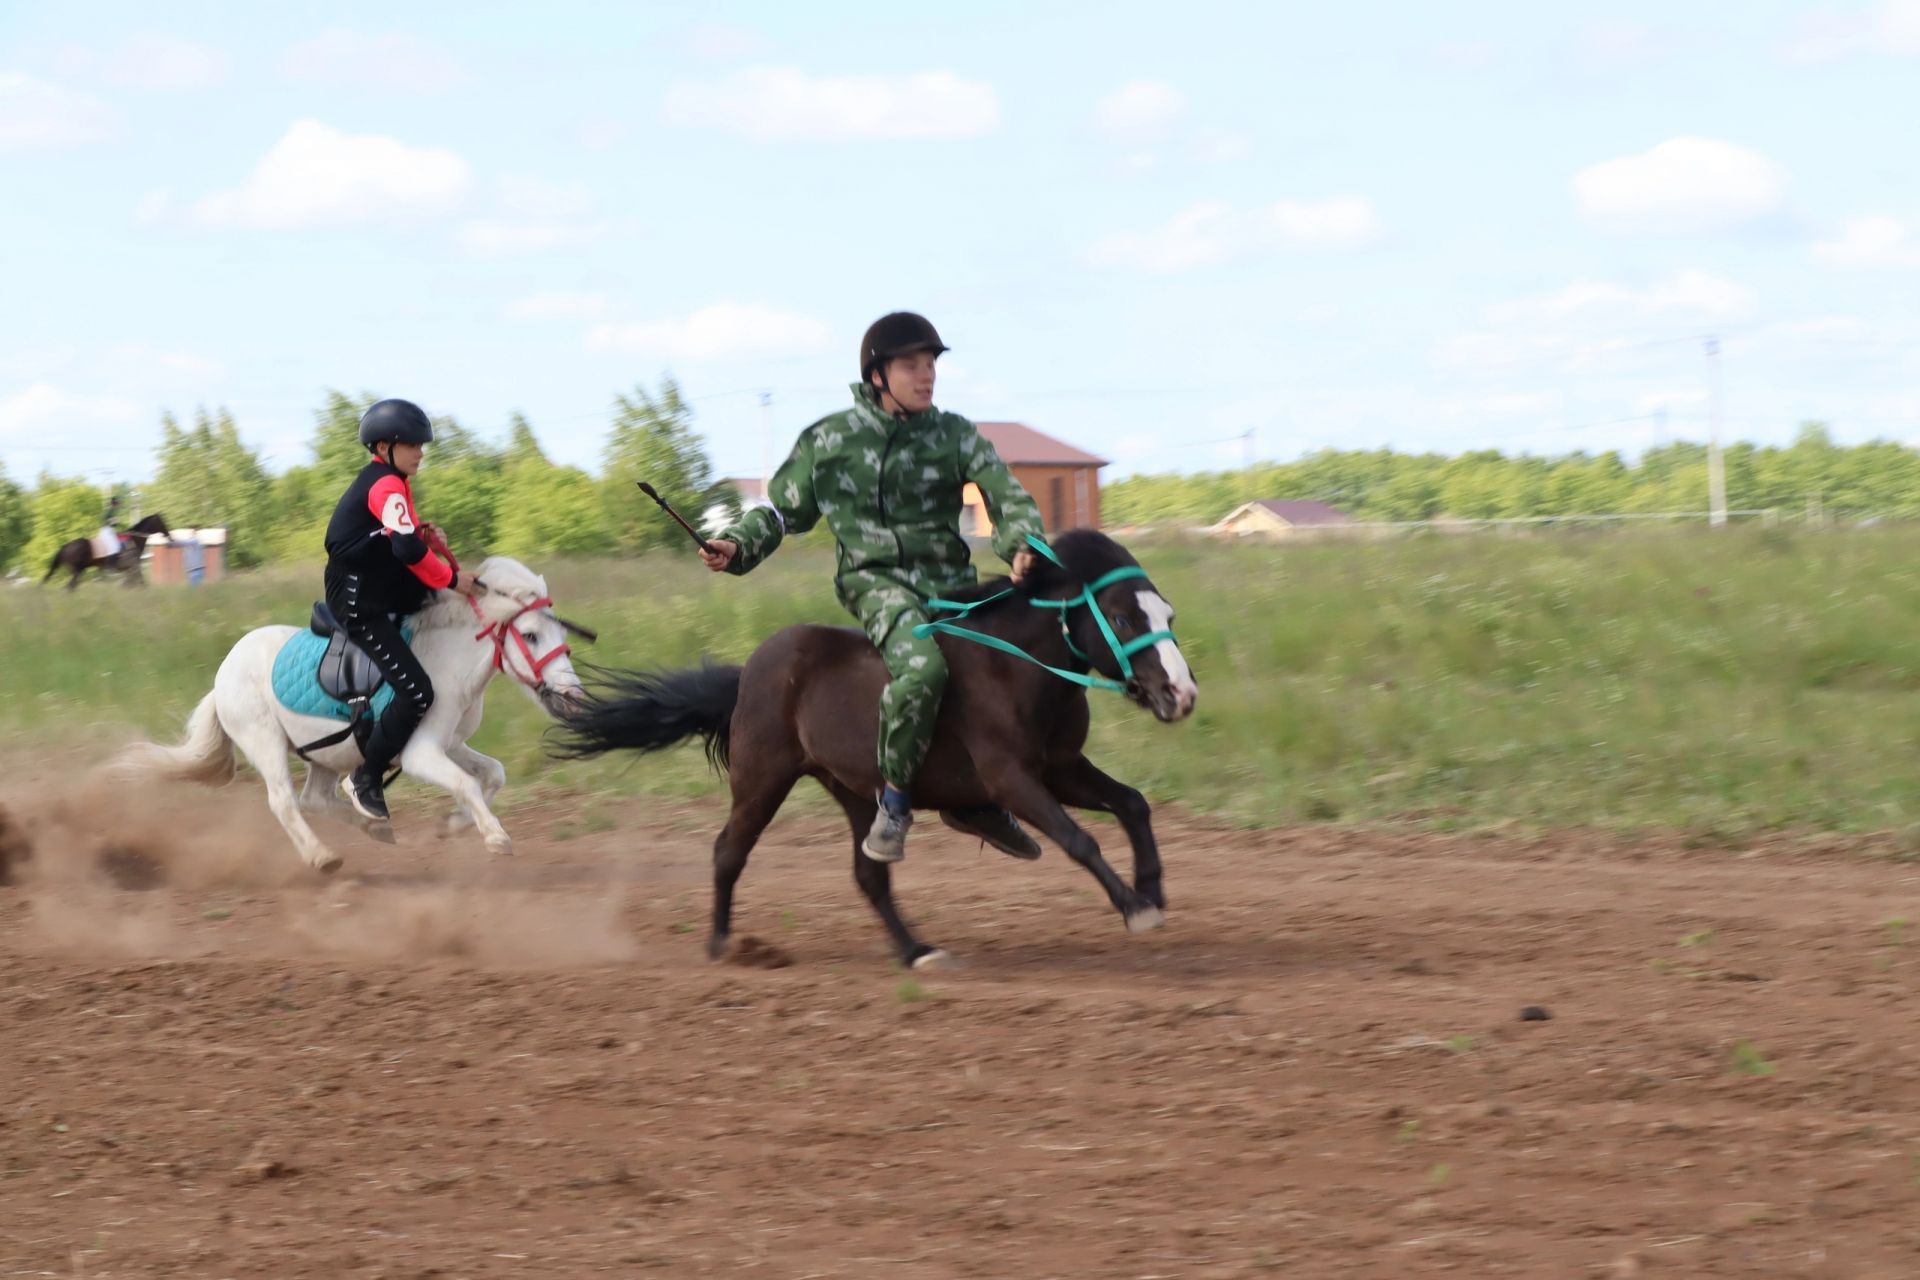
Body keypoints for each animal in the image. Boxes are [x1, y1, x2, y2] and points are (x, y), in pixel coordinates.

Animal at [40, 510, 170, 591]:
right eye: (162, 522)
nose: (168, 535)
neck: (134, 539)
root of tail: (65, 546)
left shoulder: (130, 569)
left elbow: (130, 584)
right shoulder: (134, 567)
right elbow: (140, 583)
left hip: (77, 571)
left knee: (70, 587)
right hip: (77, 571)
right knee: (70, 587)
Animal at [114, 556, 583, 875]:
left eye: (560, 632)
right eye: (530, 635)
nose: (572, 695)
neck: (447, 661)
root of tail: (223, 674)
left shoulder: (451, 744)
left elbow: (492, 775)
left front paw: (453, 825)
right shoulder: (420, 753)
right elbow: (467, 783)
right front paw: (495, 836)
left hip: (326, 752)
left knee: (315, 798)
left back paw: (371, 825)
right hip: (265, 742)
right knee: (285, 802)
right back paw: (323, 856)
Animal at [549, 533, 1198, 971]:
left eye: (1167, 611)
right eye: (1121, 617)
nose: (1181, 694)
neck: (1015, 667)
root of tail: (749, 672)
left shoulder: (1061, 769)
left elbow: (1133, 804)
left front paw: (1152, 888)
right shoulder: (1012, 778)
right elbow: (1080, 840)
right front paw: (1136, 907)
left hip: (860, 791)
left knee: (869, 874)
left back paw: (916, 950)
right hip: (762, 779)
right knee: (728, 852)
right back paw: (722, 945)